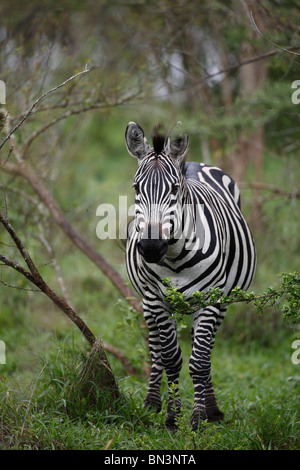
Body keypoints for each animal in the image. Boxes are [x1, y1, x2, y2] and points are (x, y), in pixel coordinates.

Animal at [124, 120, 255, 430]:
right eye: (136, 187)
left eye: (174, 188)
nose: (150, 247)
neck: (174, 256)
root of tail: (193, 162)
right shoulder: (155, 299)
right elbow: (171, 358)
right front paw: (173, 418)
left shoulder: (211, 298)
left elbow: (200, 361)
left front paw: (198, 418)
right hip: (148, 302)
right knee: (155, 350)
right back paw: (151, 403)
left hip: (221, 302)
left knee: (204, 349)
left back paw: (212, 407)